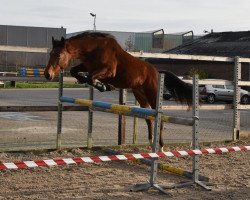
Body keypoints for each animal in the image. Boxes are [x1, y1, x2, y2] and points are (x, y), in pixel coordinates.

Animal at [44, 31, 191, 151]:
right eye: (51, 54)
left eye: (59, 55)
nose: (47, 75)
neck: (93, 49)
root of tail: (156, 71)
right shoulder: (87, 66)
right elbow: (76, 72)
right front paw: (100, 84)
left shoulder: (108, 71)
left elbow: (91, 78)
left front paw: (104, 86)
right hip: (140, 95)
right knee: (149, 118)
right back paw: (151, 142)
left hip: (152, 93)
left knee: (159, 118)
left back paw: (160, 146)